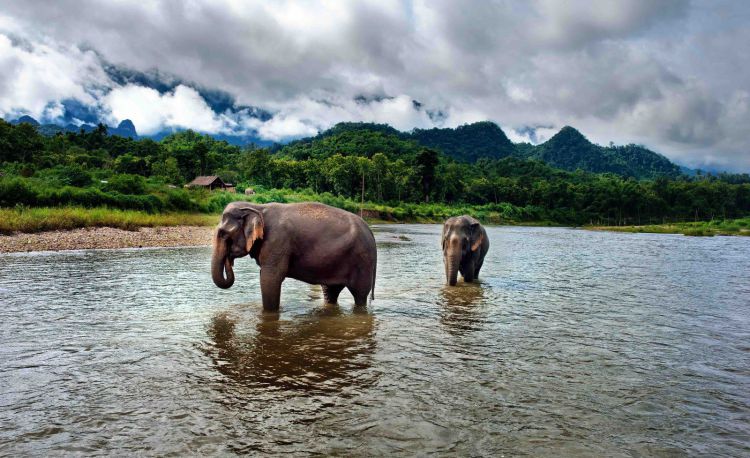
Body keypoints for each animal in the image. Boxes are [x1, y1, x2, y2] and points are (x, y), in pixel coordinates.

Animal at [210, 202, 376, 310]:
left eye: (223, 234)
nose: (229, 259)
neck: (258, 207)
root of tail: (370, 230)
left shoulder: (277, 241)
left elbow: (270, 278)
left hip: (363, 261)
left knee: (360, 295)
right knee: (331, 291)